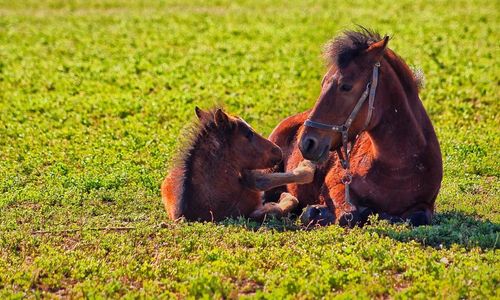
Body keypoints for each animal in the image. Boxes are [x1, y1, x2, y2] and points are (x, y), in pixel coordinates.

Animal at [264, 29, 444, 226]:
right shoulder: (337, 185)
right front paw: (316, 211)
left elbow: (417, 217)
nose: (306, 143)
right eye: (323, 83)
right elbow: (348, 215)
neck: (398, 169)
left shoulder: (426, 205)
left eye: (346, 86)